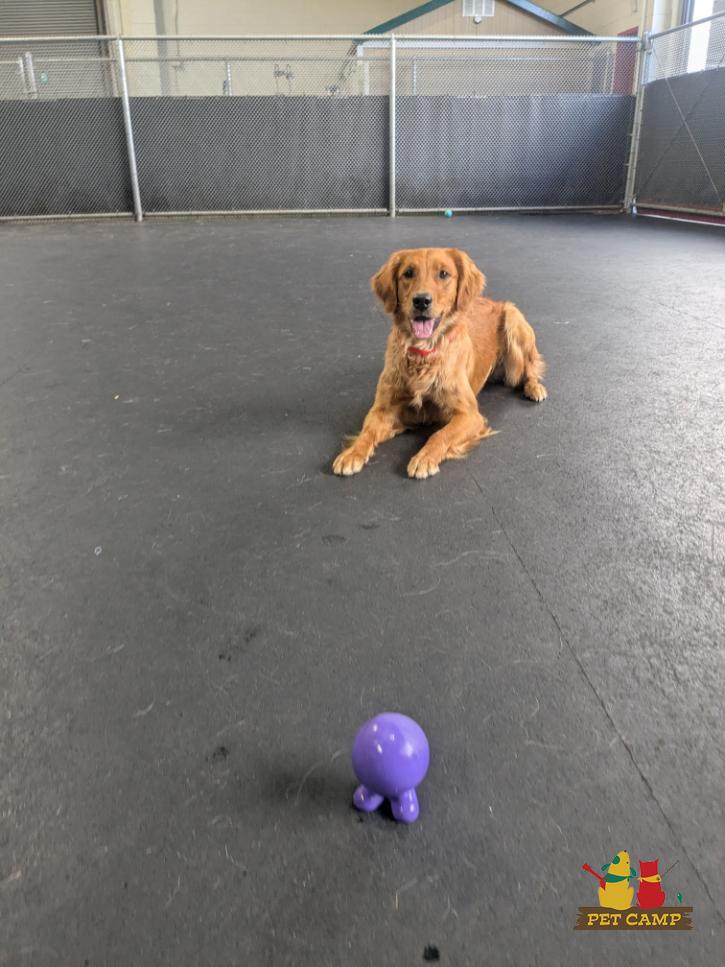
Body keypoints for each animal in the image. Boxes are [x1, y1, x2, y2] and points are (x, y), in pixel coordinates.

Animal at [332, 248, 547, 479]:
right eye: (408, 273)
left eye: (443, 274)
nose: (421, 300)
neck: (423, 353)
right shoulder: (382, 408)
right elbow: (367, 431)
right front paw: (352, 453)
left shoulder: (470, 415)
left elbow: (440, 435)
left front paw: (424, 458)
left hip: (514, 319)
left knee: (530, 369)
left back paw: (535, 388)